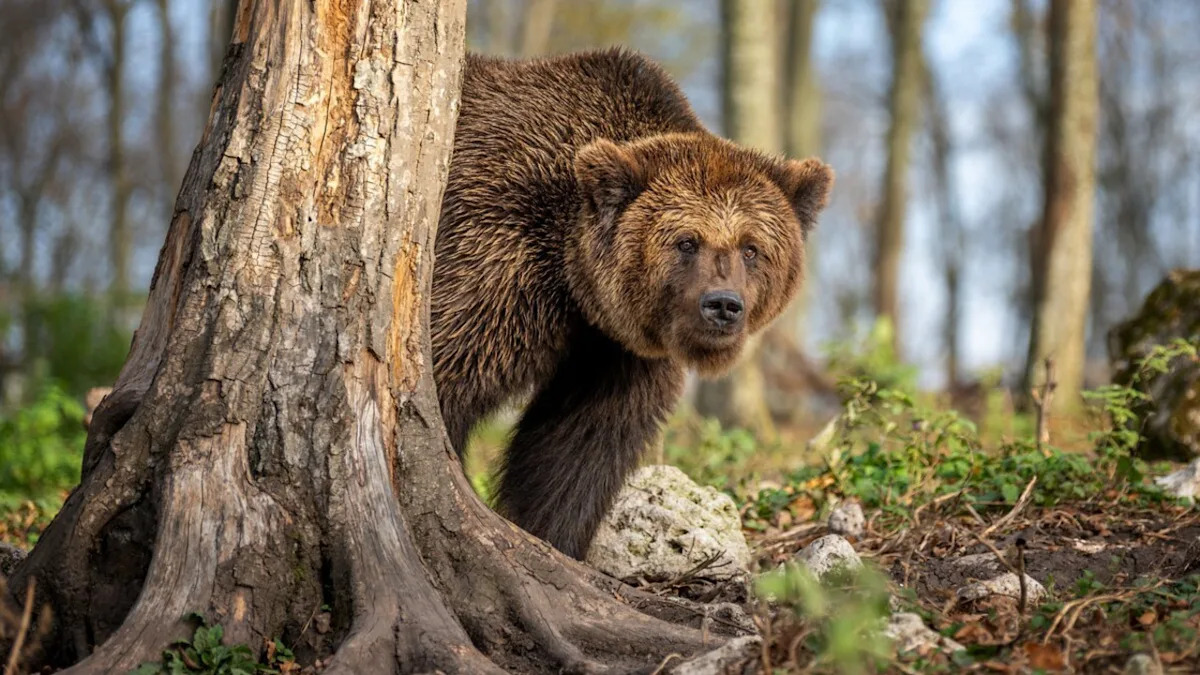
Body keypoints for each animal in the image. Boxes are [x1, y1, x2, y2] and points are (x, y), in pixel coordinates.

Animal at [432, 48, 834, 560]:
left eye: (751, 248)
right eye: (687, 241)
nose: (723, 305)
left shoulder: (620, 351)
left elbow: (579, 445)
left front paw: (549, 534)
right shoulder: (494, 257)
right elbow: (446, 371)